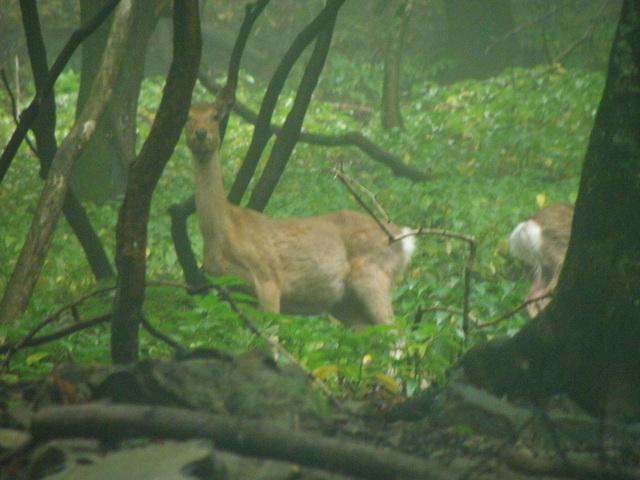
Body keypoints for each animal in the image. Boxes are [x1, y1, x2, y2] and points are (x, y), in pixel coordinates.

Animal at [185, 87, 416, 326]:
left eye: (215, 116)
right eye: (188, 117)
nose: (201, 133)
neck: (226, 231)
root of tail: (405, 237)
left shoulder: (268, 277)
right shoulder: (233, 291)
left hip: (374, 272)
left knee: (396, 330)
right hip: (345, 304)